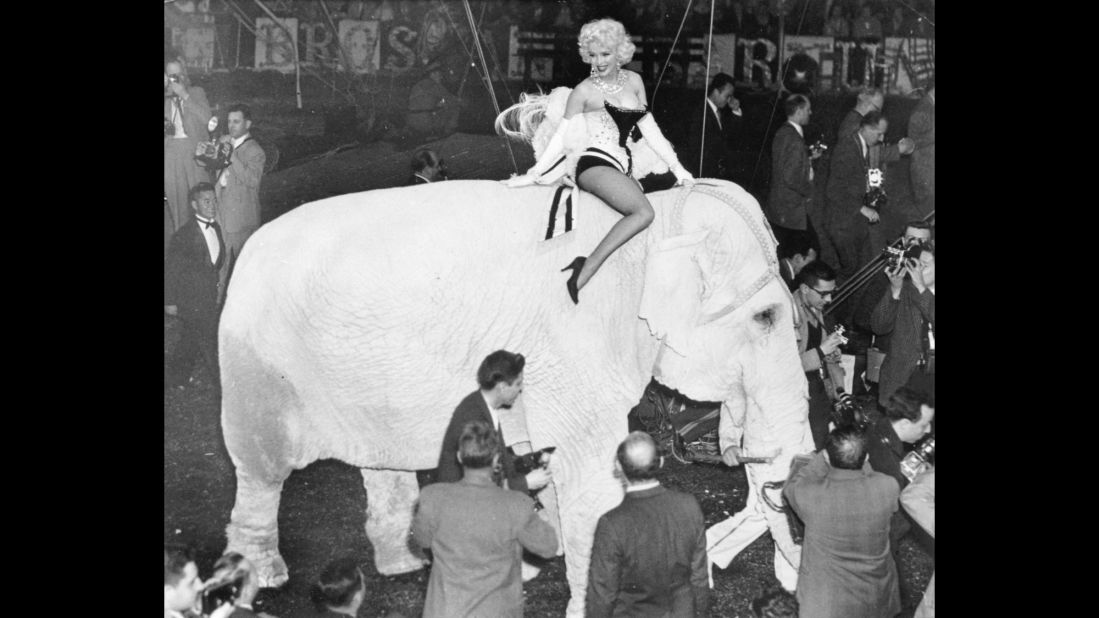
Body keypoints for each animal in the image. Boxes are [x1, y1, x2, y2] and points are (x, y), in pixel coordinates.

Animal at [218, 177, 813, 611]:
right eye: (766, 318)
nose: (785, 586)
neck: (658, 220)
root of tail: (245, 254)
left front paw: (530, 555)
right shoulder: (577, 344)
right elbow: (593, 479)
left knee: (381, 460)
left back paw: (404, 565)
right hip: (258, 367)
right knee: (262, 469)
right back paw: (262, 578)